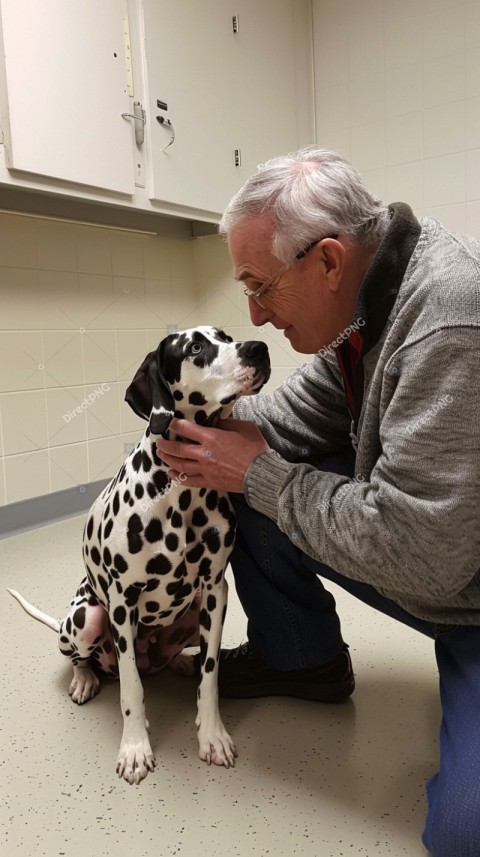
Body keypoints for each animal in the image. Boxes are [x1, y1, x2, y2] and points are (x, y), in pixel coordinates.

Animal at [8, 326, 270, 784]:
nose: (260, 348)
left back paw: (180, 664)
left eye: (227, 336)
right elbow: (132, 687)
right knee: (86, 659)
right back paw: (84, 680)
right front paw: (134, 747)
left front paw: (212, 734)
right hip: (86, 618)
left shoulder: (215, 591)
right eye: (195, 347)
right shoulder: (121, 603)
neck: (182, 492)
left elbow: (211, 676)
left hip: (194, 611)